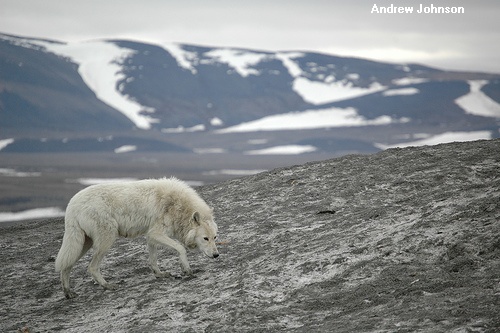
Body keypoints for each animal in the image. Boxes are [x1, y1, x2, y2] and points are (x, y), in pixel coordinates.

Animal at [55, 178, 219, 296]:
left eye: (215, 238)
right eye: (206, 238)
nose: (216, 255)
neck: (176, 205)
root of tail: (71, 206)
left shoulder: (151, 237)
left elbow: (153, 260)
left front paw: (160, 274)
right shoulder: (156, 233)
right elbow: (180, 248)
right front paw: (186, 270)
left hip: (82, 244)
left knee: (65, 267)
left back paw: (68, 293)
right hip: (106, 241)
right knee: (91, 267)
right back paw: (108, 285)